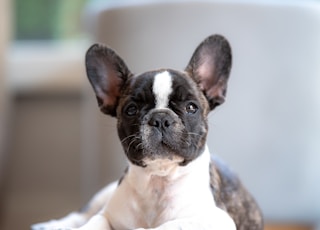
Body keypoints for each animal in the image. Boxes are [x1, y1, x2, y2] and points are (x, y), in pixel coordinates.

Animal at [31, 34, 262, 230]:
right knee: (81, 215)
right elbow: (94, 222)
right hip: (103, 194)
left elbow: (170, 226)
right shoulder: (108, 214)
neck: (158, 181)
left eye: (191, 107)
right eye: (131, 110)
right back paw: (52, 225)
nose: (160, 118)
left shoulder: (215, 219)